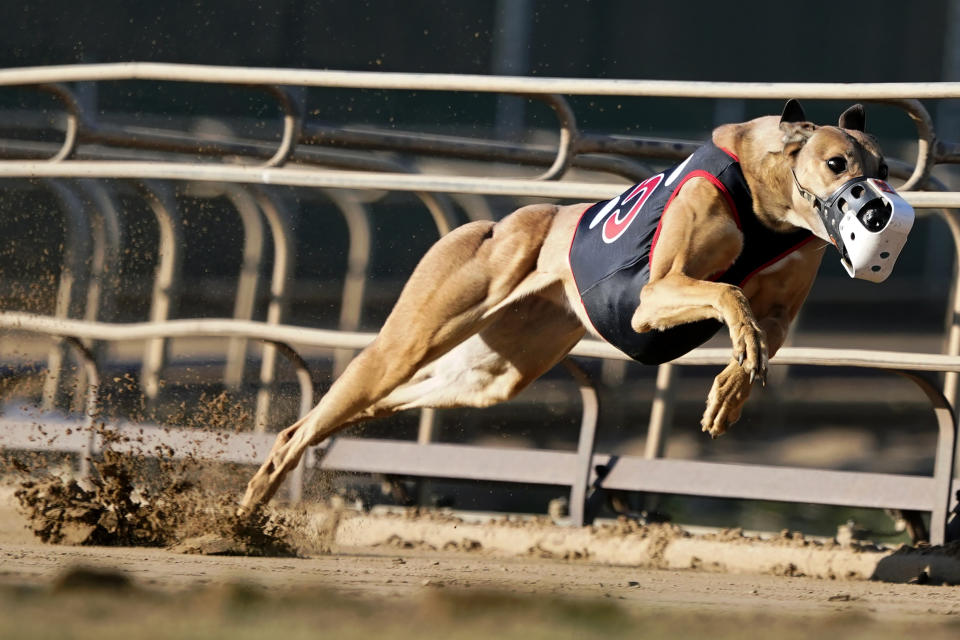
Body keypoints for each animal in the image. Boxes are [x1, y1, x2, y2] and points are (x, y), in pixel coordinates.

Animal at [238, 97, 916, 512]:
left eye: (884, 165)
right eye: (836, 162)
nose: (878, 209)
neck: (766, 203)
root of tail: (493, 224)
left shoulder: (780, 310)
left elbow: (758, 333)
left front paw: (728, 389)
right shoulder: (651, 296)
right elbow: (728, 291)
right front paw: (735, 354)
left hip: (489, 375)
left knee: (364, 407)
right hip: (410, 340)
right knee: (304, 425)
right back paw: (247, 513)